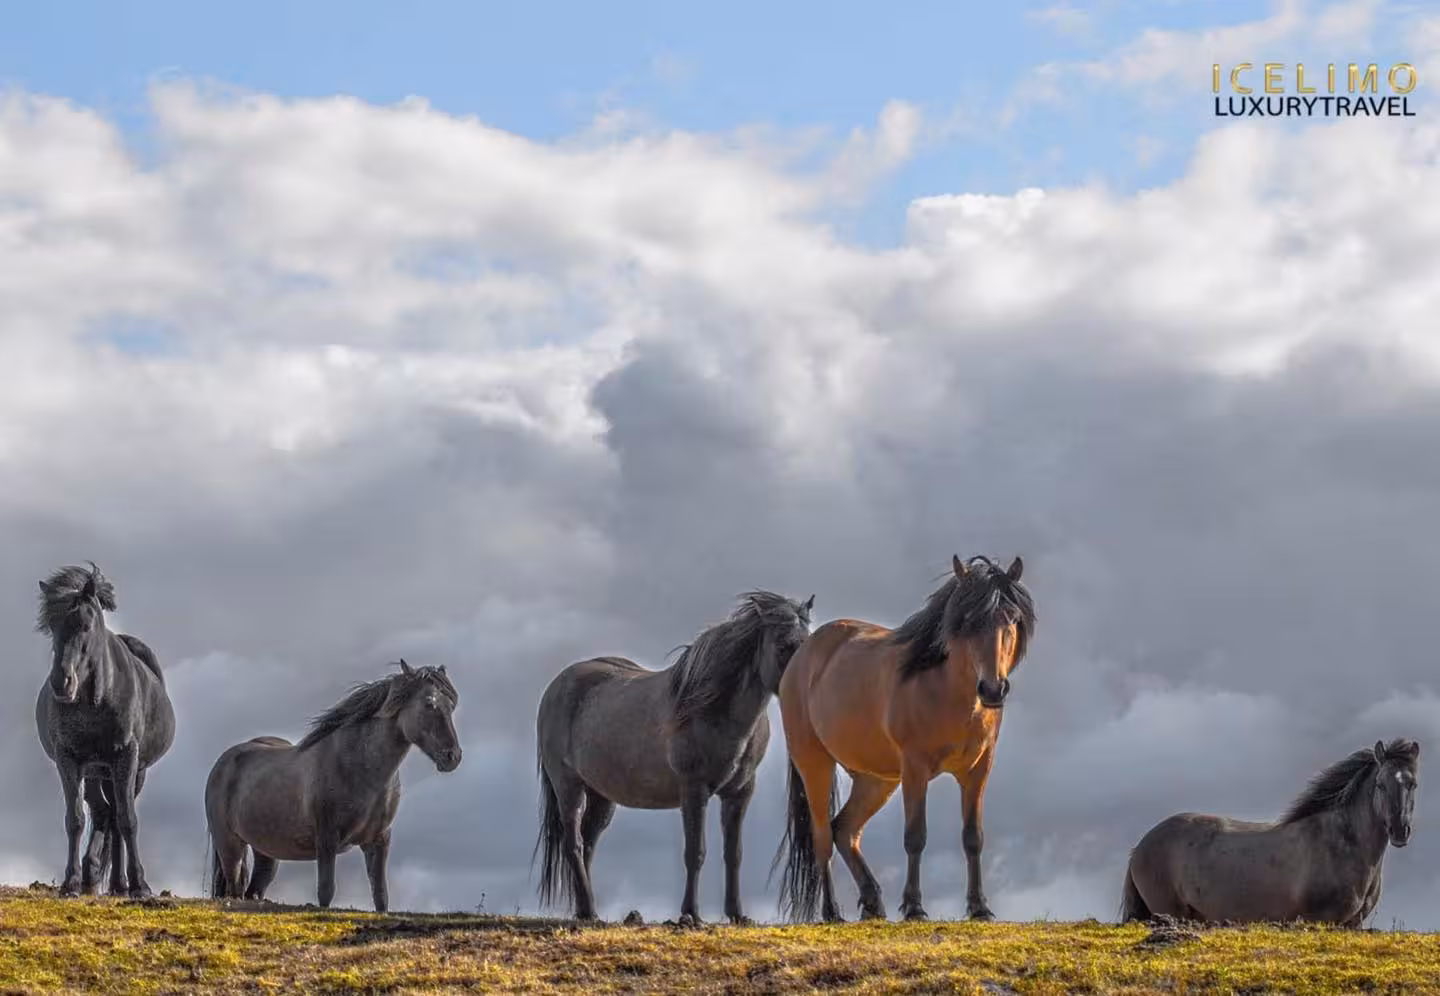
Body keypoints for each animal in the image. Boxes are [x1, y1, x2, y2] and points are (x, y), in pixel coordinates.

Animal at [34, 563, 176, 899]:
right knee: (103, 813)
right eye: (51, 626)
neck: (97, 698)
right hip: (98, 771)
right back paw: (100, 879)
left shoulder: (126, 757)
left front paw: (140, 885)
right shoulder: (69, 759)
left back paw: (121, 884)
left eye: (85, 625)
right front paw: (71, 883)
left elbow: (128, 820)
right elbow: (75, 819)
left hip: (131, 771)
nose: (61, 683)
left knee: (116, 815)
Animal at [204, 660, 461, 912]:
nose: (453, 756)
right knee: (234, 890)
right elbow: (326, 892)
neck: (360, 768)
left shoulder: (378, 841)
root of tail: (224, 762)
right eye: (429, 703)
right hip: (230, 847)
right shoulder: (327, 841)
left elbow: (381, 897)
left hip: (265, 851)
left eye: (452, 705)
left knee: (254, 890)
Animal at [534, 590, 814, 925]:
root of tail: (555, 687)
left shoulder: (739, 793)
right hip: (569, 787)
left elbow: (733, 854)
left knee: (588, 844)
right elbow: (695, 852)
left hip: (602, 796)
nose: (803, 691)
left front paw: (736, 914)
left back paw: (586, 910)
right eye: (783, 646)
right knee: (573, 844)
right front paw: (690, 914)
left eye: (809, 640)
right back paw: (589, 910)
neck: (715, 712)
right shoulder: (693, 791)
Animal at [773, 554, 1034, 923]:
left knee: (845, 830)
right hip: (814, 763)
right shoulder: (914, 769)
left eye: (1011, 618)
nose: (993, 689)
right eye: (968, 620)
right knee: (823, 835)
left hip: (875, 779)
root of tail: (802, 656)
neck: (945, 691)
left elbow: (973, 837)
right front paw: (914, 907)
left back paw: (872, 903)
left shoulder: (978, 770)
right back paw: (832, 911)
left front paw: (979, 907)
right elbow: (915, 836)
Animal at [1120, 738, 1420, 927]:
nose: (1399, 831)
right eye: (1380, 784)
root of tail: (1141, 846)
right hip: (1168, 911)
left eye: (1413, 784)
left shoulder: (1352, 925)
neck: (1341, 844)